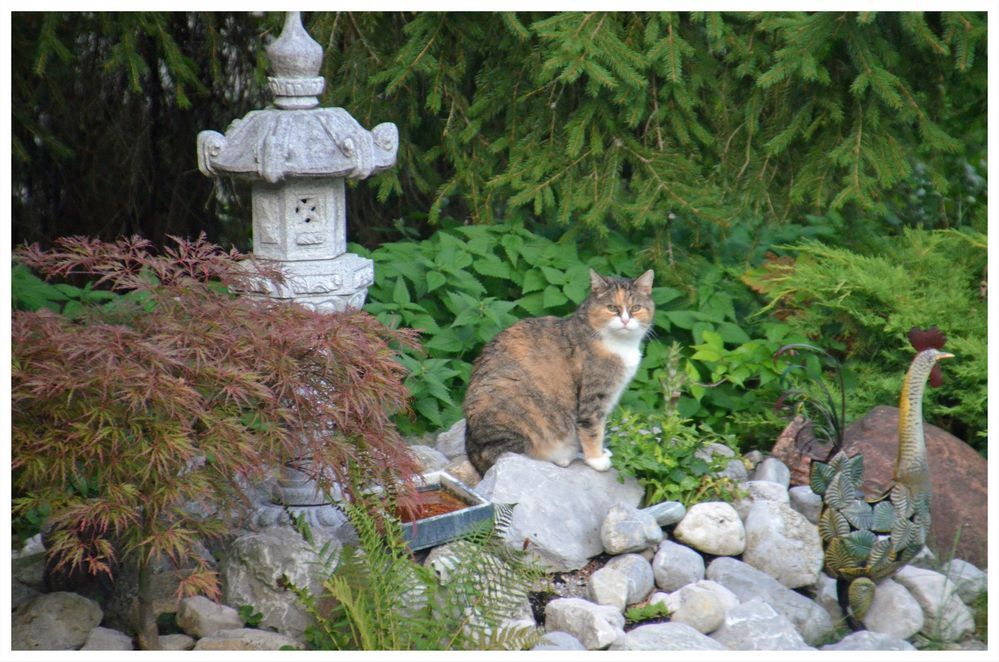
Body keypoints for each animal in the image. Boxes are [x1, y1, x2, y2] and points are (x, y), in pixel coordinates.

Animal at [462, 270, 656, 478]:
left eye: (636, 307)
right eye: (612, 307)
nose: (625, 320)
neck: (619, 344)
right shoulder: (593, 395)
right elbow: (592, 428)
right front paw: (596, 459)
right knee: (506, 455)